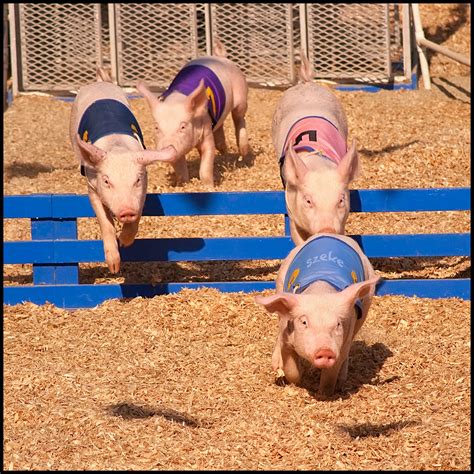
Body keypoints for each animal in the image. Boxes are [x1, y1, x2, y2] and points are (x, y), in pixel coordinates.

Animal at [71, 67, 179, 274]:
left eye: (136, 180)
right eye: (106, 181)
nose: (127, 210)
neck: (117, 148)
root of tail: (100, 83)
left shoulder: (143, 189)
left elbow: (137, 217)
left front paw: (124, 242)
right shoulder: (92, 186)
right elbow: (105, 222)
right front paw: (114, 268)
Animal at [135, 37, 250, 187]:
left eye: (183, 127)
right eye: (156, 127)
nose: (166, 147)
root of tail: (221, 57)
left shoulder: (206, 128)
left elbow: (207, 160)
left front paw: (208, 186)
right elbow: (180, 167)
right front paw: (182, 184)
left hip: (241, 94)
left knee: (239, 118)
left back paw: (243, 153)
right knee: (220, 127)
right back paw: (224, 151)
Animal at [254, 232, 380, 396]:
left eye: (338, 324)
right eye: (304, 322)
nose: (325, 350)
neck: (321, 290)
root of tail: (329, 234)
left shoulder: (342, 342)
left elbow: (330, 374)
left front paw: (324, 394)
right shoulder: (286, 336)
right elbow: (291, 368)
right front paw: (297, 381)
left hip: (364, 308)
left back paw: (342, 379)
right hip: (281, 281)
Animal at [272, 52, 362, 244]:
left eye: (340, 200)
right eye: (308, 201)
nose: (327, 229)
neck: (317, 164)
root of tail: (306, 83)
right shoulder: (291, 207)